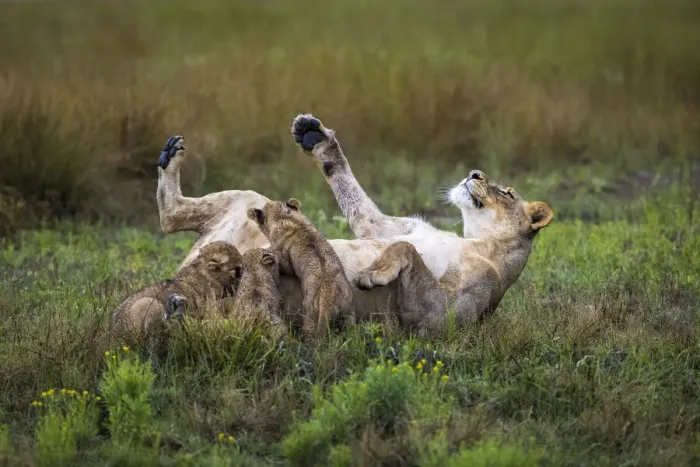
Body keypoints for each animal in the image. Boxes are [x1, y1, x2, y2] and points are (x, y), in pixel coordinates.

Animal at [247, 198, 356, 337]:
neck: (284, 217)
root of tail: (328, 297)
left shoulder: (284, 257)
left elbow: (284, 265)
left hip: (311, 316)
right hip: (349, 313)